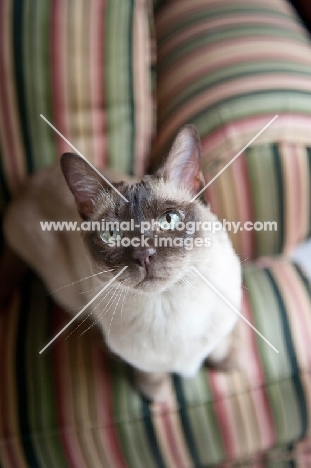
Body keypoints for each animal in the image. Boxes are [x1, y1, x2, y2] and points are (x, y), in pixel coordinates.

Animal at [4, 126, 243, 400]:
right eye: (112, 234)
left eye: (169, 219)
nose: (143, 255)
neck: (169, 304)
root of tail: (22, 190)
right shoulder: (143, 360)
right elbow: (153, 375)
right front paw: (158, 397)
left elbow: (218, 346)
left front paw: (229, 363)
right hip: (67, 289)